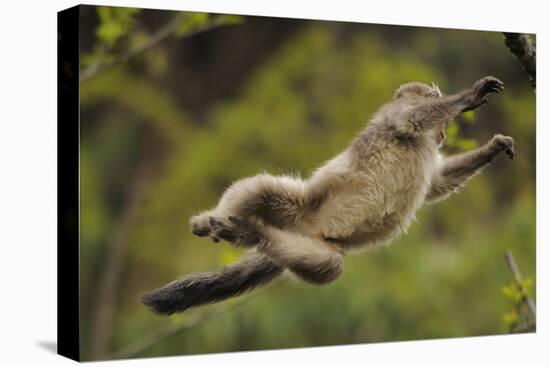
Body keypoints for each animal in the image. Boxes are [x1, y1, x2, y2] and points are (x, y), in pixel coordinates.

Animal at [142, 75, 516, 316]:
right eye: (436, 99)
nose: (443, 134)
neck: (424, 143)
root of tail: (301, 229)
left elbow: (437, 184)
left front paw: (492, 149)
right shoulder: (395, 116)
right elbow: (408, 118)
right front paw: (468, 98)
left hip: (310, 243)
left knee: (327, 266)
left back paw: (251, 235)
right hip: (301, 208)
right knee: (262, 190)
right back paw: (213, 221)